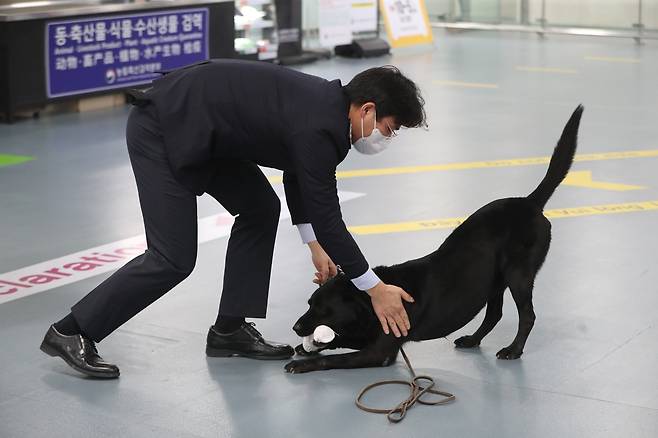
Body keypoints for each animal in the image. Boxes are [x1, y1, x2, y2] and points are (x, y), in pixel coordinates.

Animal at [284, 105, 580, 372]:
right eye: (309, 303)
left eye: (323, 309)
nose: (296, 326)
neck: (370, 301)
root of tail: (529, 202)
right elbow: (338, 342)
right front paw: (305, 348)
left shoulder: (380, 351)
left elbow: (334, 358)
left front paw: (303, 362)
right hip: (492, 279)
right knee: (494, 314)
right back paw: (473, 339)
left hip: (518, 274)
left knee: (527, 316)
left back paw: (514, 349)